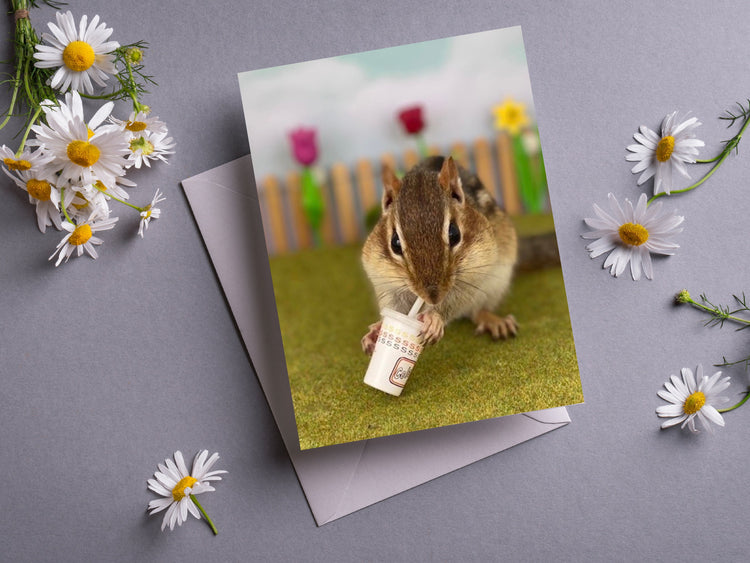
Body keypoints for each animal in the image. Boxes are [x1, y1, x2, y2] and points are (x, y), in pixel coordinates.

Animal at [361, 155, 518, 354]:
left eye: (454, 234)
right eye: (395, 243)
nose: (433, 297)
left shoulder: (472, 277)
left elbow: (456, 300)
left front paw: (434, 318)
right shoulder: (384, 281)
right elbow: (392, 306)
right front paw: (376, 330)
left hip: (496, 285)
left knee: (478, 311)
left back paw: (493, 320)